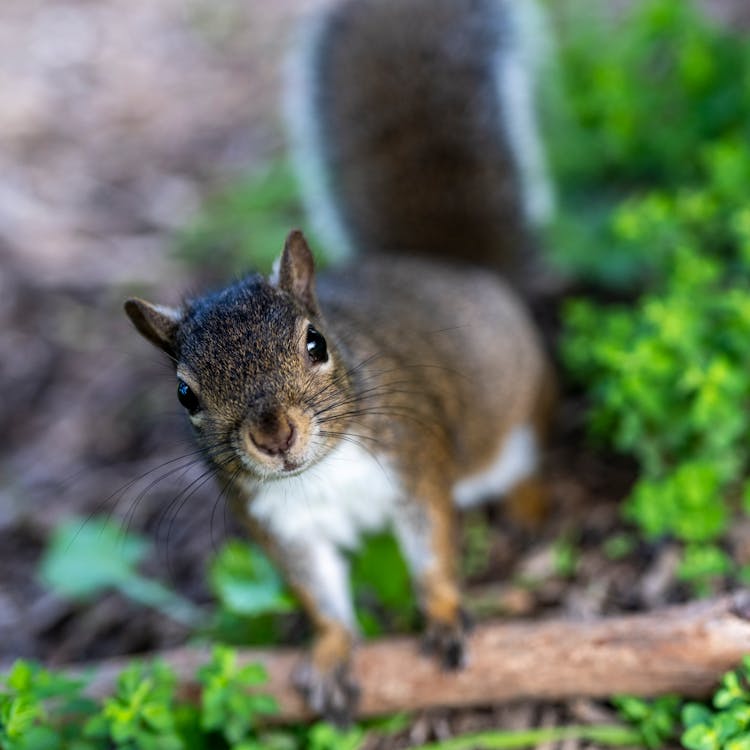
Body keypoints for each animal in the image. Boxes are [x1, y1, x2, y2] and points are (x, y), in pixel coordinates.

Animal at [125, 0, 560, 732]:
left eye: (315, 344)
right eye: (185, 394)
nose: (274, 437)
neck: (321, 474)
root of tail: (458, 271)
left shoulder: (415, 465)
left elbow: (431, 550)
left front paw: (444, 615)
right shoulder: (281, 527)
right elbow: (319, 595)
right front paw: (331, 654)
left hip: (515, 420)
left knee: (525, 457)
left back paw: (528, 504)